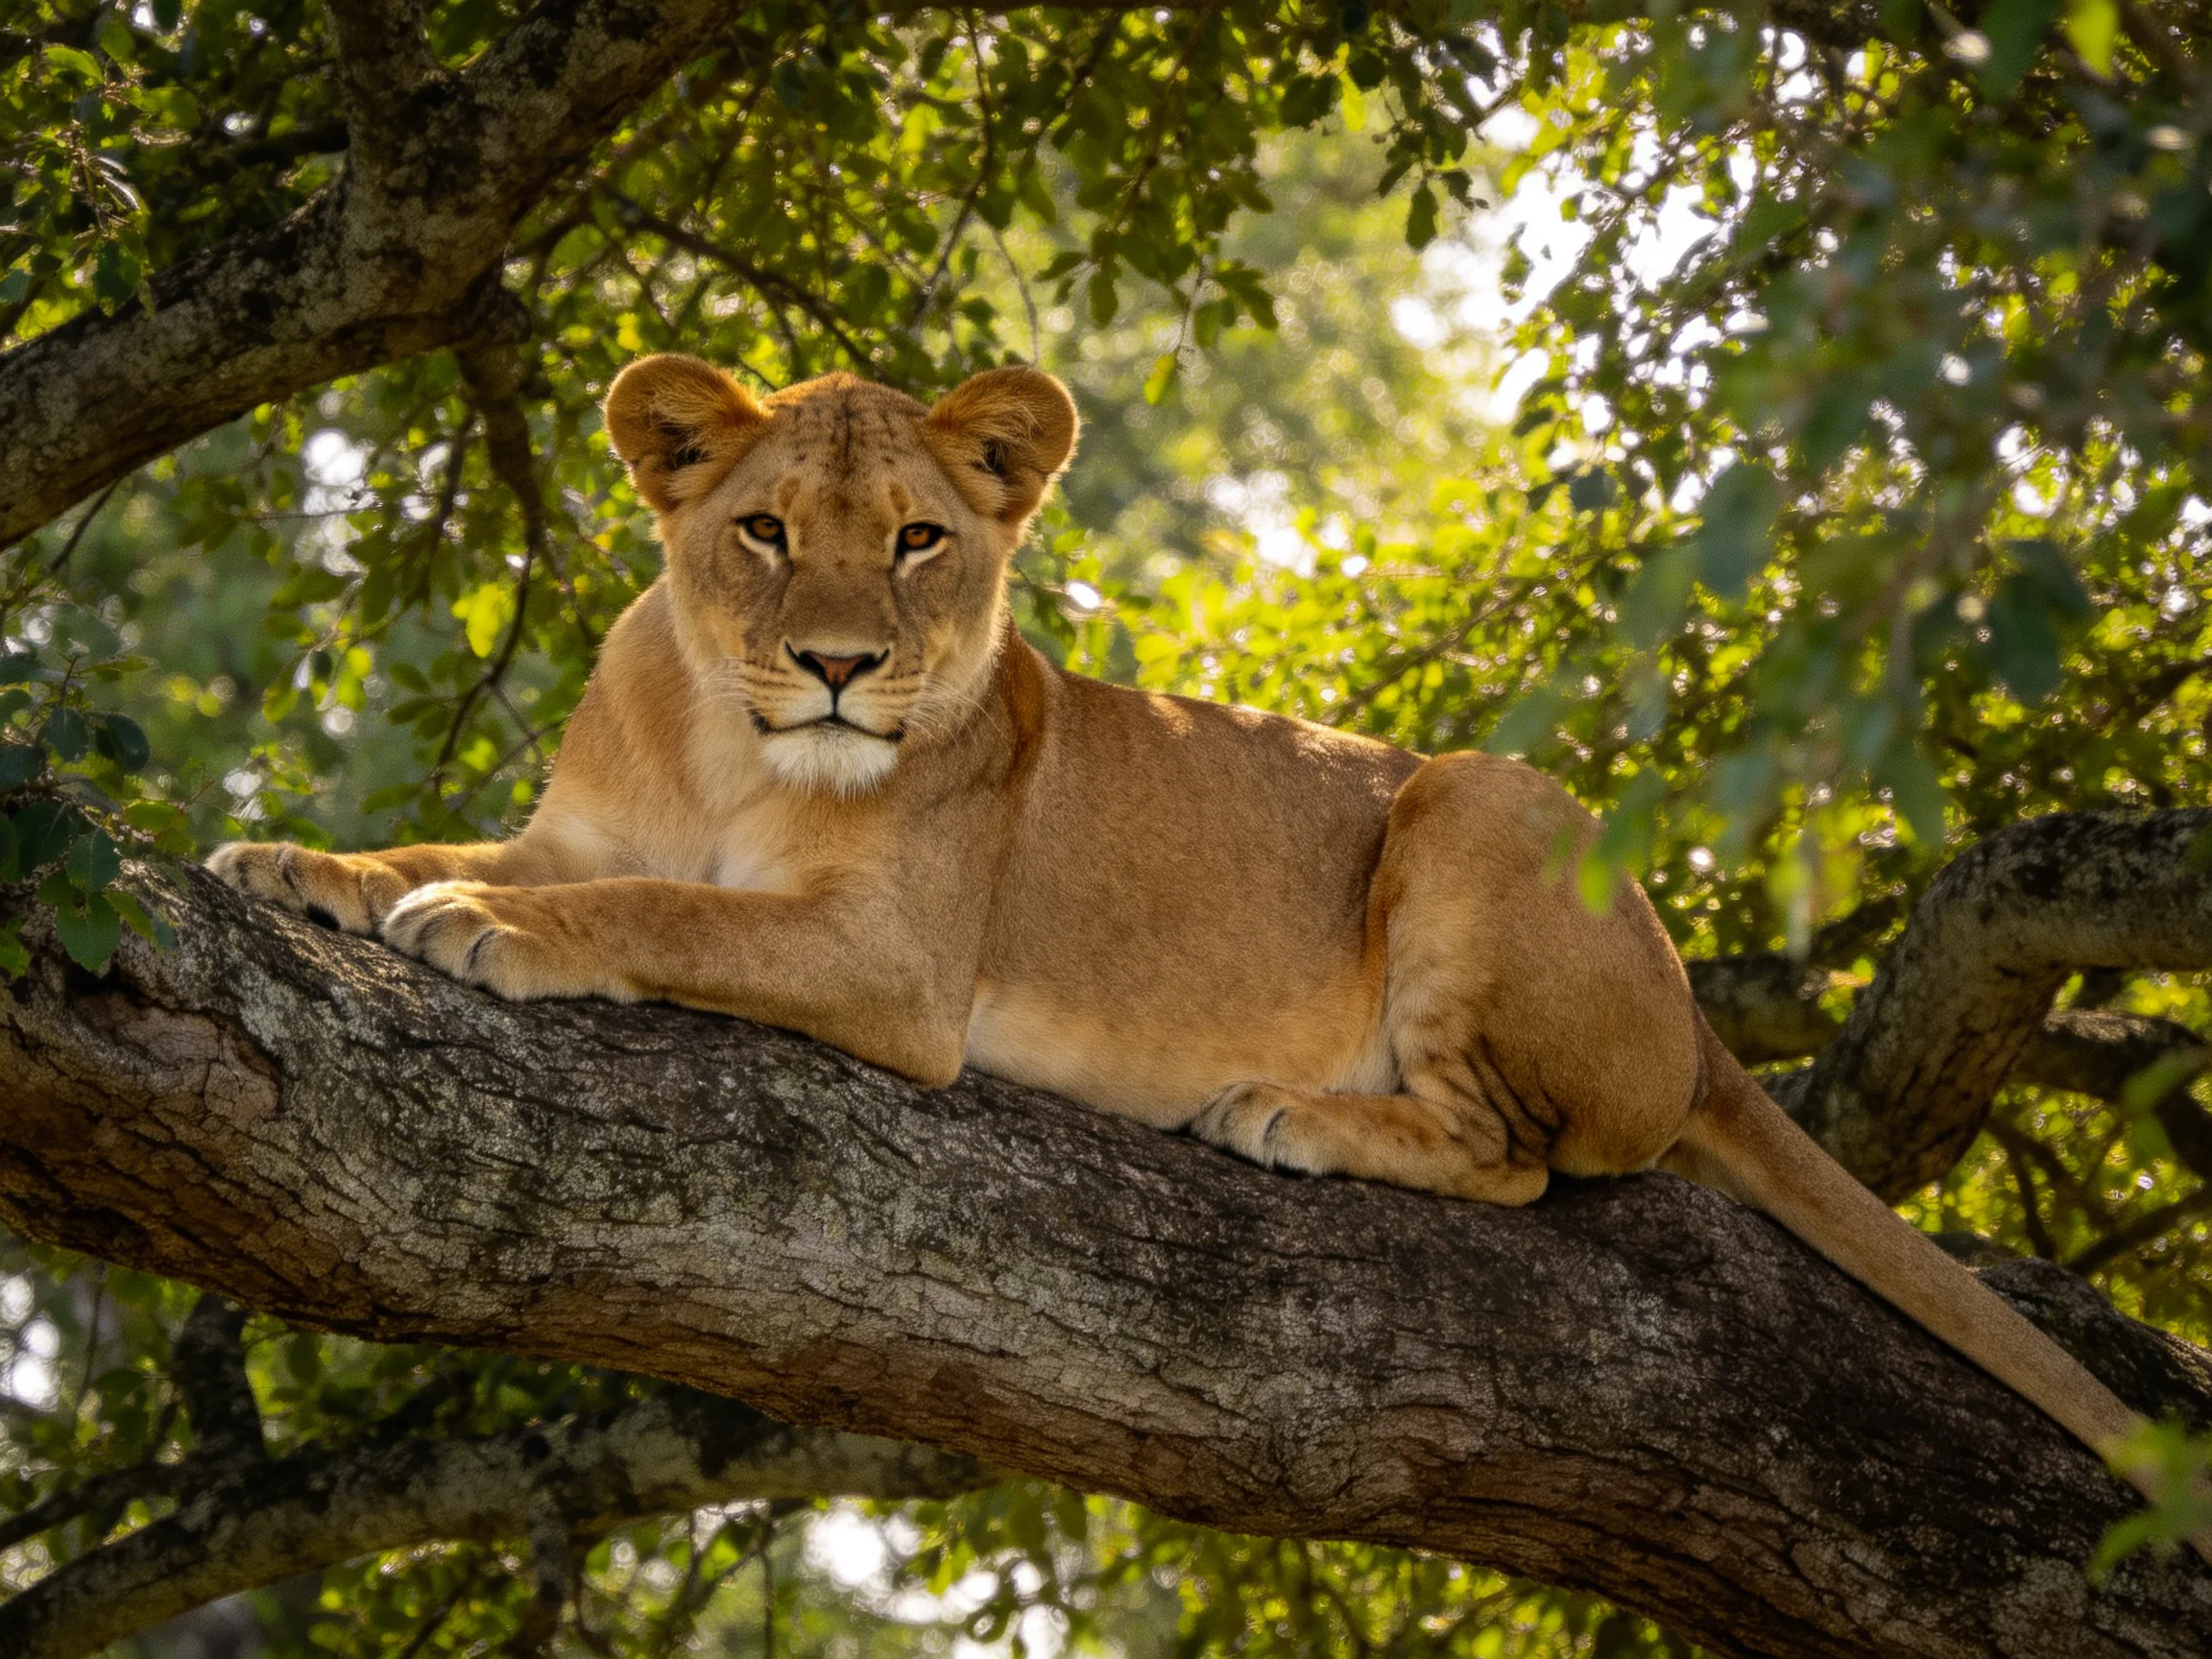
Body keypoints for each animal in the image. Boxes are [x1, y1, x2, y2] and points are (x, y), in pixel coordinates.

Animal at [211, 352, 2205, 1561]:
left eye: (917, 540)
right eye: (761, 529)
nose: (843, 667)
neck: (726, 744)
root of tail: (1691, 1005)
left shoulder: (893, 967)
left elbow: (662, 912)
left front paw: (485, 934)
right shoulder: (584, 824)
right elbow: (469, 851)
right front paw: (295, 860)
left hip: (1472, 799)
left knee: (1516, 1158)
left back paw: (1288, 1114)